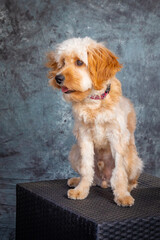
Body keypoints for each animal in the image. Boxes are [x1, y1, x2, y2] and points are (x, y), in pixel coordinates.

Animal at [46, 37, 142, 206]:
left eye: (79, 62)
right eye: (62, 62)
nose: (58, 78)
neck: (94, 102)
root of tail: (104, 181)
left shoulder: (117, 138)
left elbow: (120, 171)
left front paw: (122, 195)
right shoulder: (84, 137)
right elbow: (86, 168)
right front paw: (81, 190)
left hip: (133, 159)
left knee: (129, 177)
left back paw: (128, 187)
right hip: (74, 152)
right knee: (91, 177)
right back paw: (77, 181)